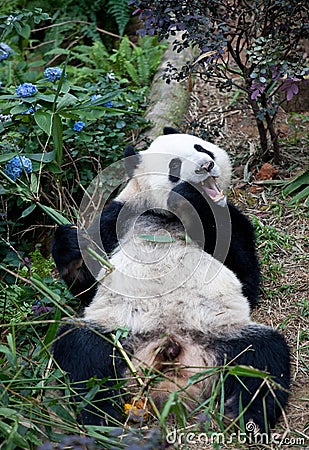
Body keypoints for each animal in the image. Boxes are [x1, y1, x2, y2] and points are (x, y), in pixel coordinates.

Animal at [51, 130, 288, 432]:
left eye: (202, 148)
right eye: (174, 167)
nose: (207, 165)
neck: (166, 217)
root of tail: (173, 352)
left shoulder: (231, 219)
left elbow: (246, 278)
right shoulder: (117, 219)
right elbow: (86, 287)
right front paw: (70, 247)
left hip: (225, 335)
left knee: (264, 358)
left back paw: (243, 413)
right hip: (119, 336)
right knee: (82, 352)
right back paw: (103, 417)